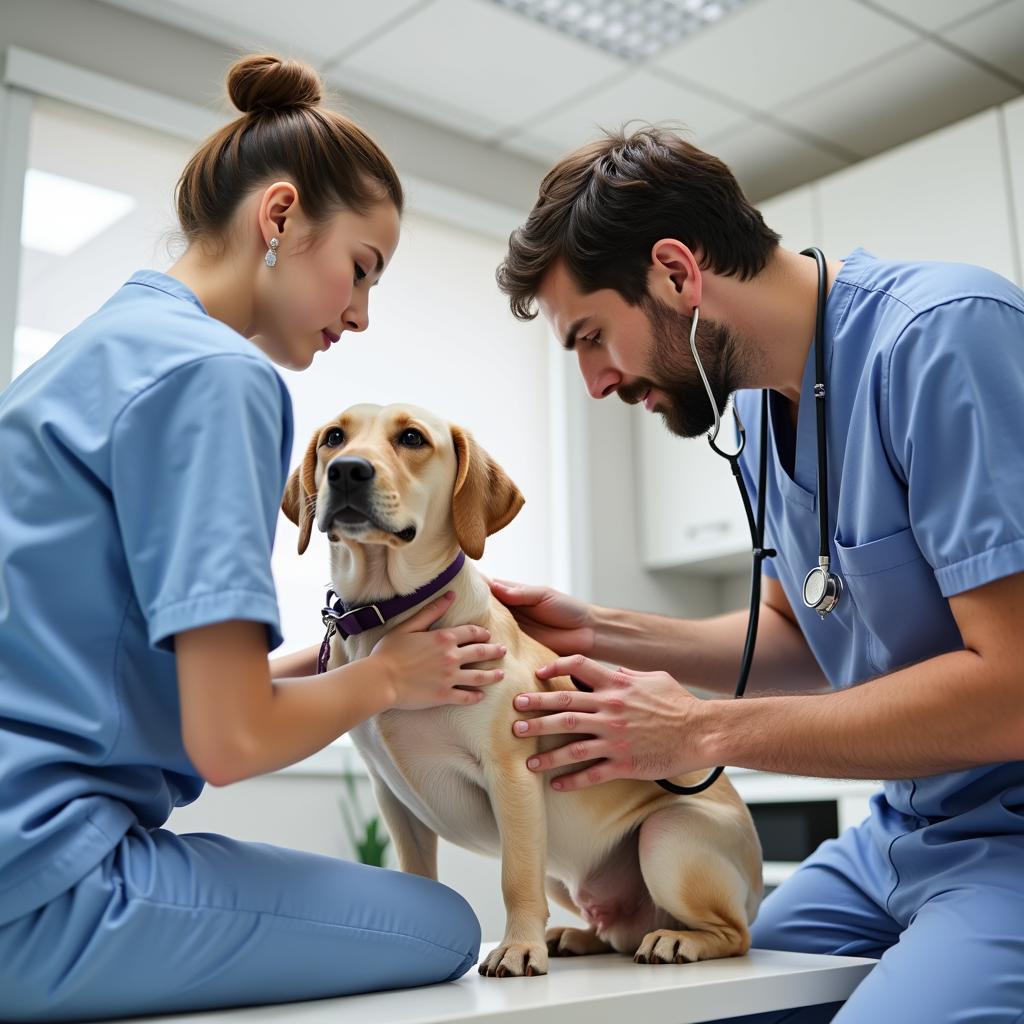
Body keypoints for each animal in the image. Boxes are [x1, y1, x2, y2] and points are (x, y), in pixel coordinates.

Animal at [280, 401, 761, 974]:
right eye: (335, 437)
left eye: (412, 438)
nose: (347, 470)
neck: (387, 615)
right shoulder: (392, 797)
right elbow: (418, 876)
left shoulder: (511, 773)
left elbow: (515, 878)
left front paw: (518, 948)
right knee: (615, 931)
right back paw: (577, 936)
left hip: (667, 835)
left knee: (734, 935)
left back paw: (677, 940)